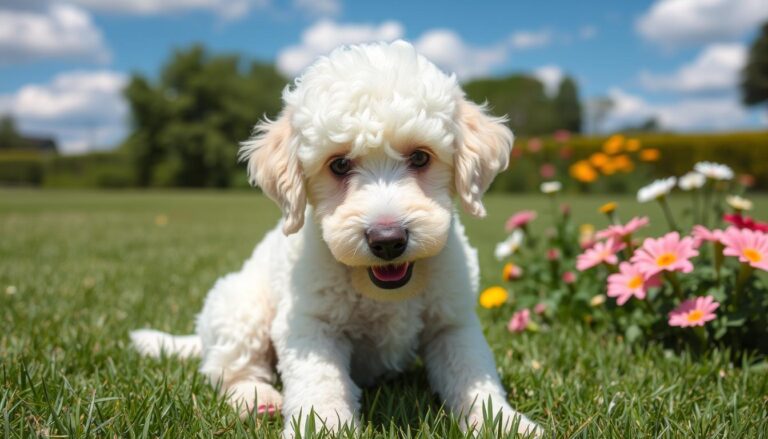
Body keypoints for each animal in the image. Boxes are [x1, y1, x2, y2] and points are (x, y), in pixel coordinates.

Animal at [130, 40, 540, 436]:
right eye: (339, 164)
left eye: (421, 158)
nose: (387, 240)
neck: (383, 293)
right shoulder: (310, 324)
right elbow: (319, 385)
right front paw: (324, 428)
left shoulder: (453, 323)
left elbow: (474, 378)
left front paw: (506, 425)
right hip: (240, 306)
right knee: (226, 369)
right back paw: (257, 398)